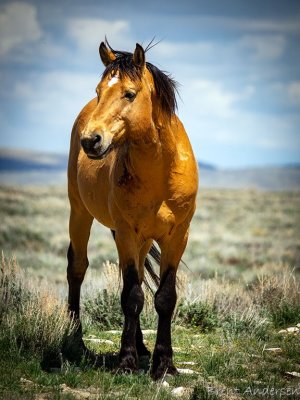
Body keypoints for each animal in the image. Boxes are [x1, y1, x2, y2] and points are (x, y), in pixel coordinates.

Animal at [67, 39, 199, 380]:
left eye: (129, 93)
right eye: (99, 90)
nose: (91, 140)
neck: (160, 170)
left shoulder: (177, 236)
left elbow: (163, 297)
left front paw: (164, 364)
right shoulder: (127, 231)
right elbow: (131, 296)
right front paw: (125, 362)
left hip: (141, 238)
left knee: (137, 276)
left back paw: (141, 348)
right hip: (80, 212)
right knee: (77, 268)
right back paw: (74, 339)